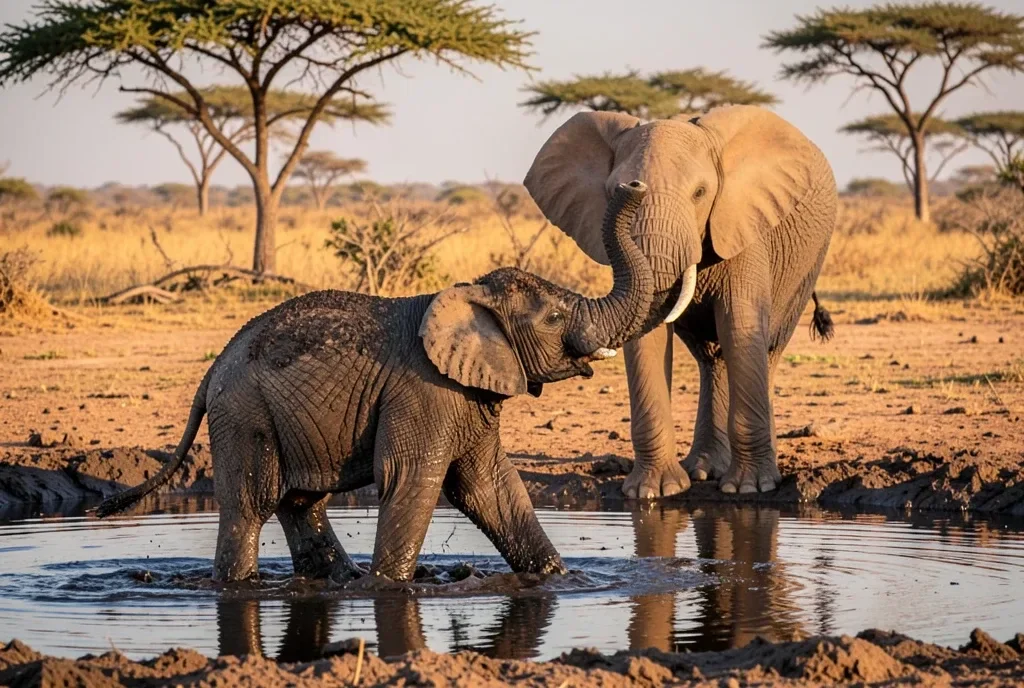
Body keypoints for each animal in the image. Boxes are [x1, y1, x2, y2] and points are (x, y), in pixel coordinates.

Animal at [95, 181, 657, 583]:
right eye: (557, 317)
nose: (632, 183)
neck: (470, 294)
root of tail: (212, 369)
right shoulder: (426, 391)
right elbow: (414, 479)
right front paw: (390, 587)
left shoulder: (471, 395)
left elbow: (490, 489)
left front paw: (561, 578)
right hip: (244, 411)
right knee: (252, 505)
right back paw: (245, 585)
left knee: (300, 503)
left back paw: (341, 580)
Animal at [524, 104, 837, 498]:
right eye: (610, 190)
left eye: (700, 193)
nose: (633, 187)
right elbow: (647, 338)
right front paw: (654, 492)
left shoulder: (743, 228)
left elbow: (740, 325)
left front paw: (749, 489)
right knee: (711, 359)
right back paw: (704, 469)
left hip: (808, 264)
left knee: (767, 349)